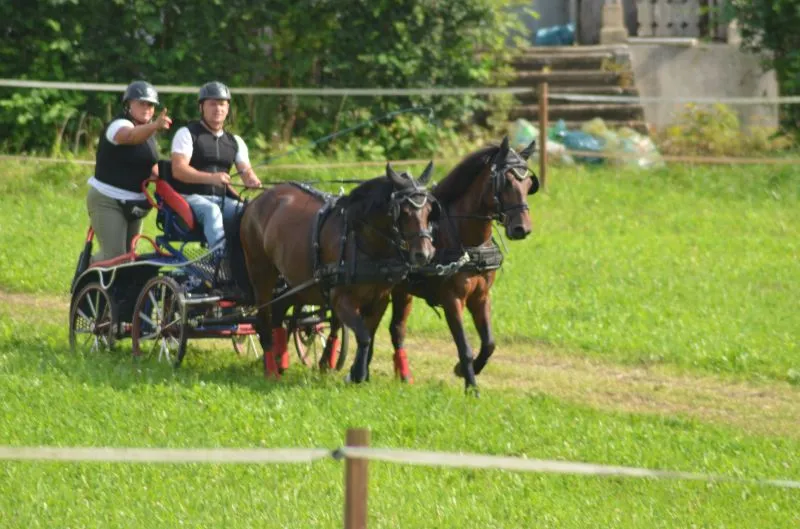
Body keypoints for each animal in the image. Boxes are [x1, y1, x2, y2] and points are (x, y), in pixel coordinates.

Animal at [239, 163, 439, 383]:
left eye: (429, 211)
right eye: (403, 212)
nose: (424, 254)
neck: (363, 241)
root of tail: (256, 202)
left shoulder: (379, 299)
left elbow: (368, 333)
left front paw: (358, 372)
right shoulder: (341, 299)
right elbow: (363, 335)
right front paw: (357, 374)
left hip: (294, 283)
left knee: (279, 312)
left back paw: (280, 360)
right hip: (261, 273)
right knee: (264, 319)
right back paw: (271, 369)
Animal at [384, 136, 539, 394]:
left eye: (528, 183)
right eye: (505, 182)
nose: (522, 228)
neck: (467, 241)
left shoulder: (481, 296)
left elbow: (489, 343)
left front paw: (467, 370)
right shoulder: (452, 299)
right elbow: (464, 346)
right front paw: (471, 387)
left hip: (402, 291)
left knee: (397, 329)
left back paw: (403, 375)